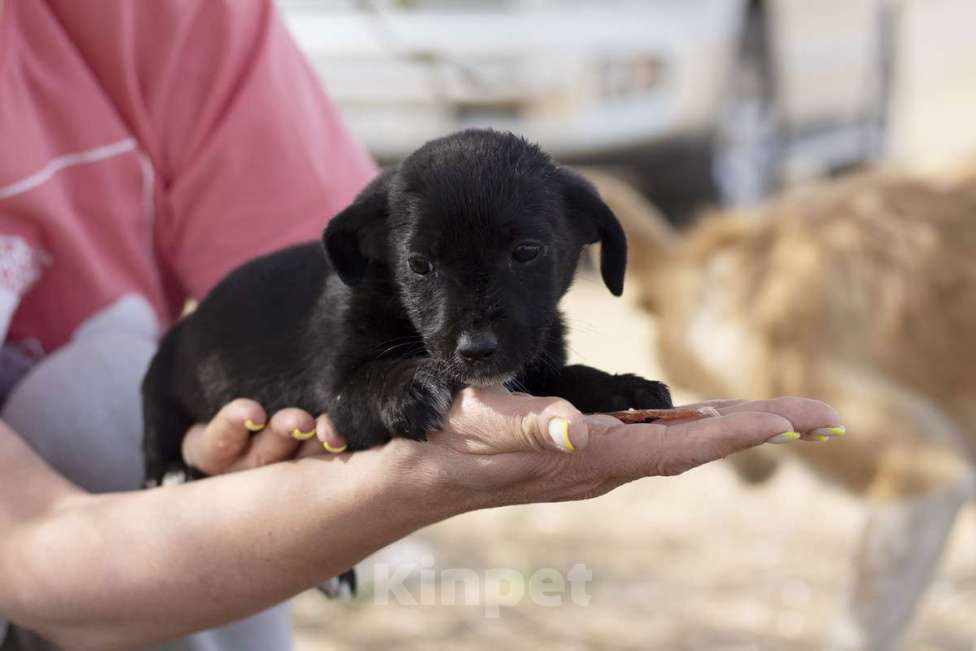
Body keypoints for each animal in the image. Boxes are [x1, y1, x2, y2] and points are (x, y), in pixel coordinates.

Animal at [143, 129, 672, 484]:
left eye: (526, 252)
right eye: (419, 265)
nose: (475, 350)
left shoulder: (534, 368)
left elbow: (573, 376)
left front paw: (624, 387)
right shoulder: (338, 395)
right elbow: (371, 379)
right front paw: (411, 386)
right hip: (163, 383)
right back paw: (170, 470)